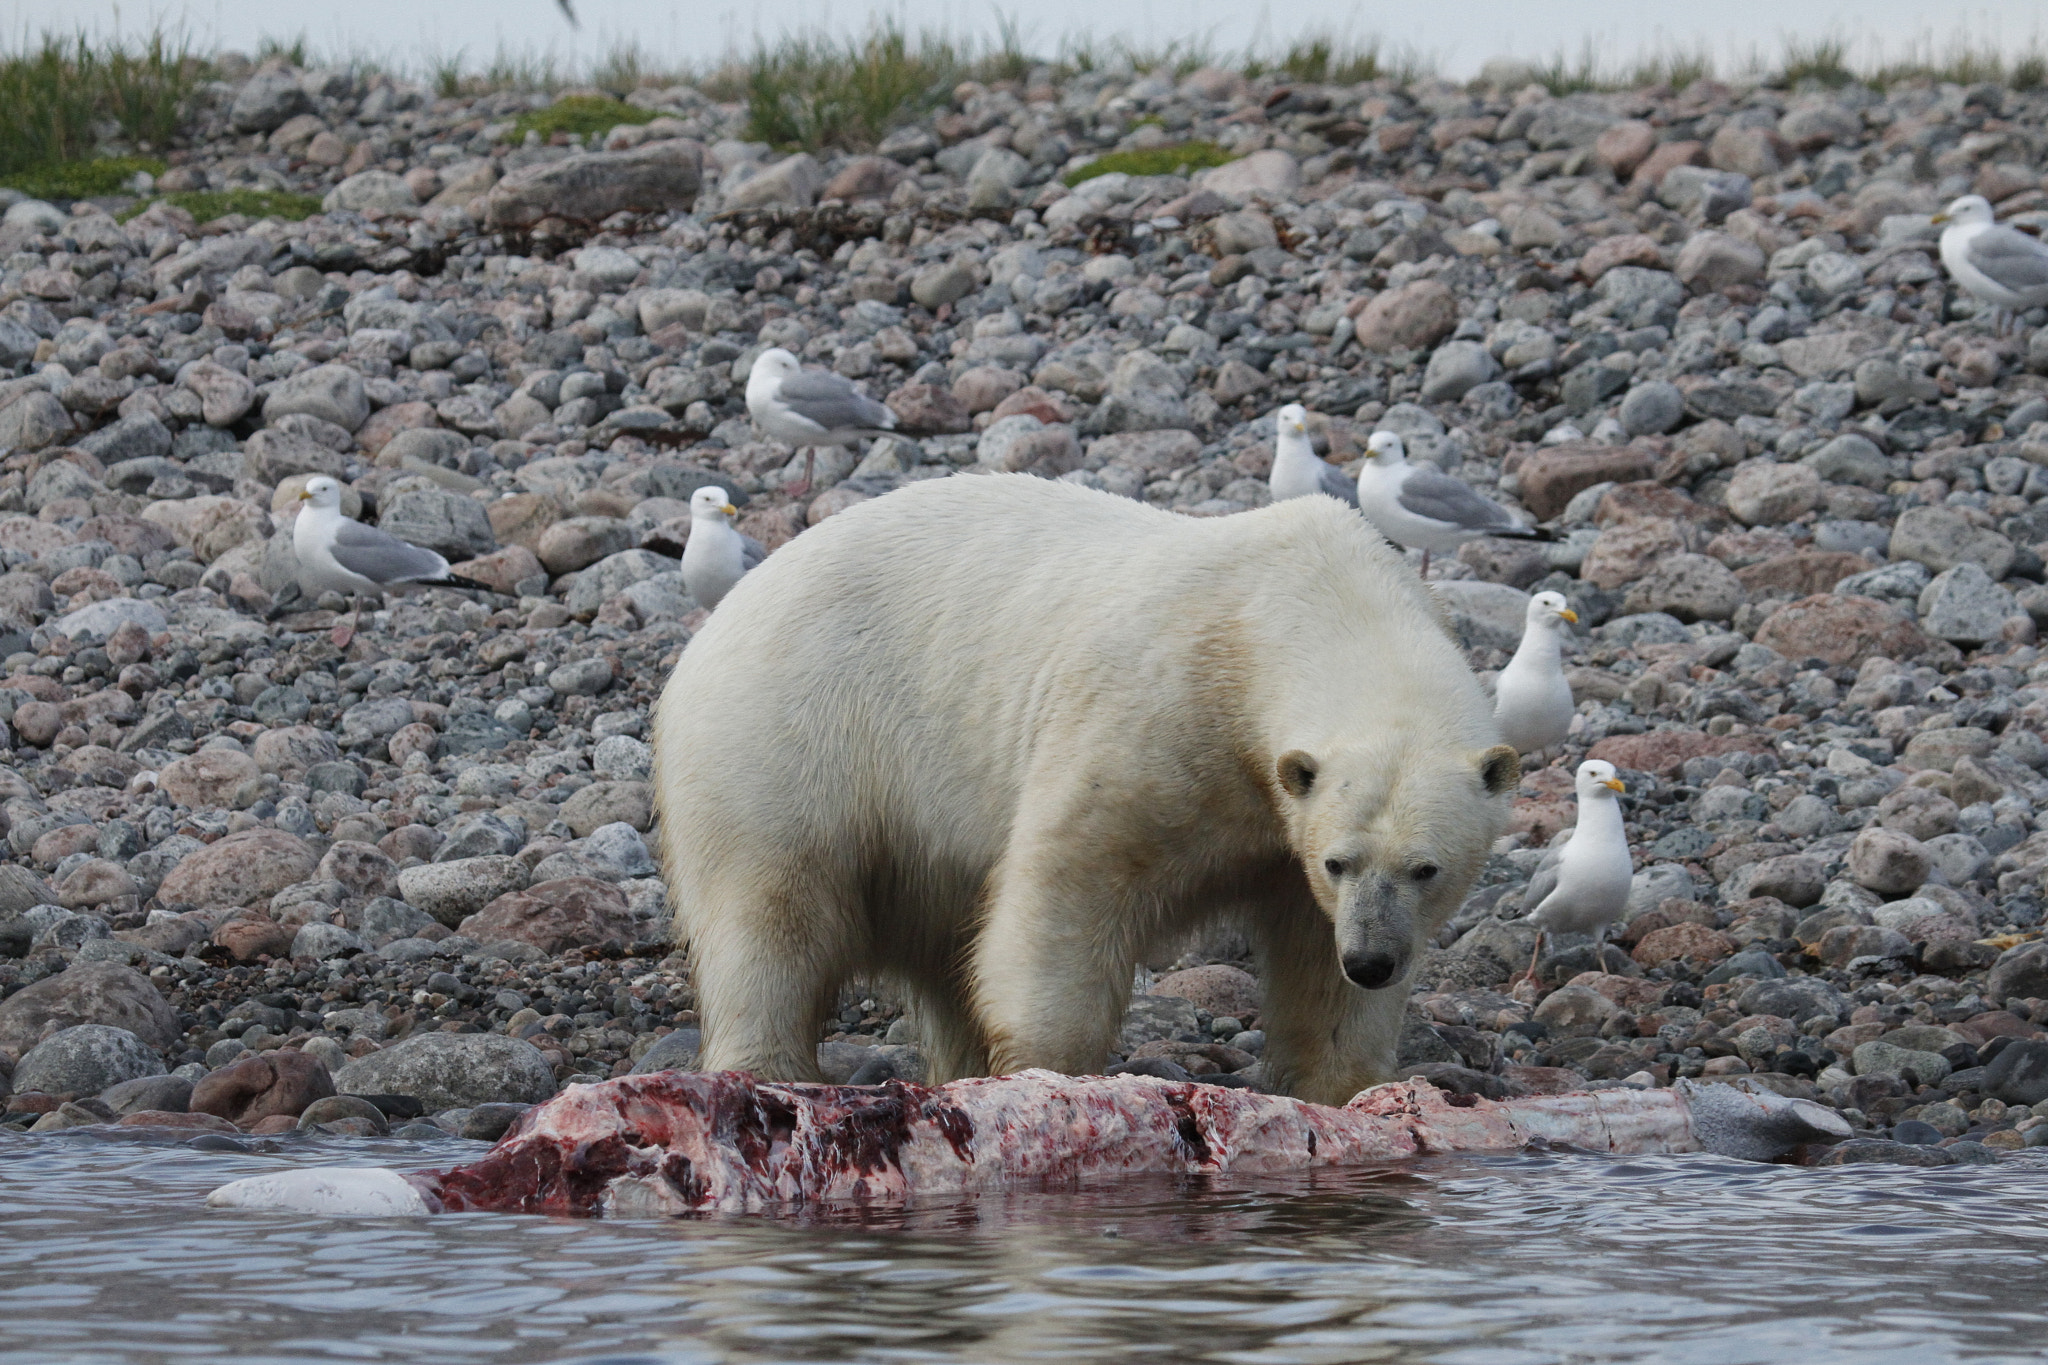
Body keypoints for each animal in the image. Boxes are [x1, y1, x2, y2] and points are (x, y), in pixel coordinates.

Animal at [655, 474, 1523, 1105]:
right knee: (773, 914)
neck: (1291, 605)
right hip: (789, 736)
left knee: (939, 951)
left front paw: (1344, 1083)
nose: (1373, 959)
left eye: (1426, 867)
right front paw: (1050, 1070)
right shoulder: (1158, 714)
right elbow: (1070, 883)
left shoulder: (1289, 829)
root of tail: (718, 622)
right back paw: (768, 1069)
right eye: (1342, 860)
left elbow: (1316, 965)